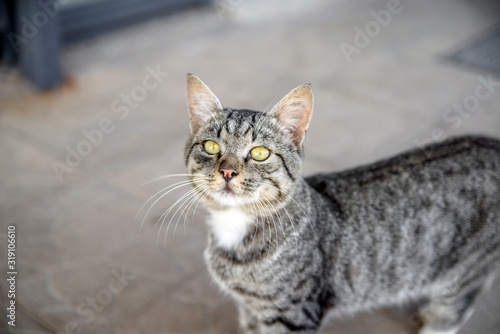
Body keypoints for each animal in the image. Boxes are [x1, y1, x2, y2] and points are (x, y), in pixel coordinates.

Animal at [184, 73, 500, 334]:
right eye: (211, 147)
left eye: (260, 153)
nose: (228, 171)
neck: (234, 225)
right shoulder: (251, 309)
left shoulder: (294, 313)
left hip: (464, 270)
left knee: (458, 305)